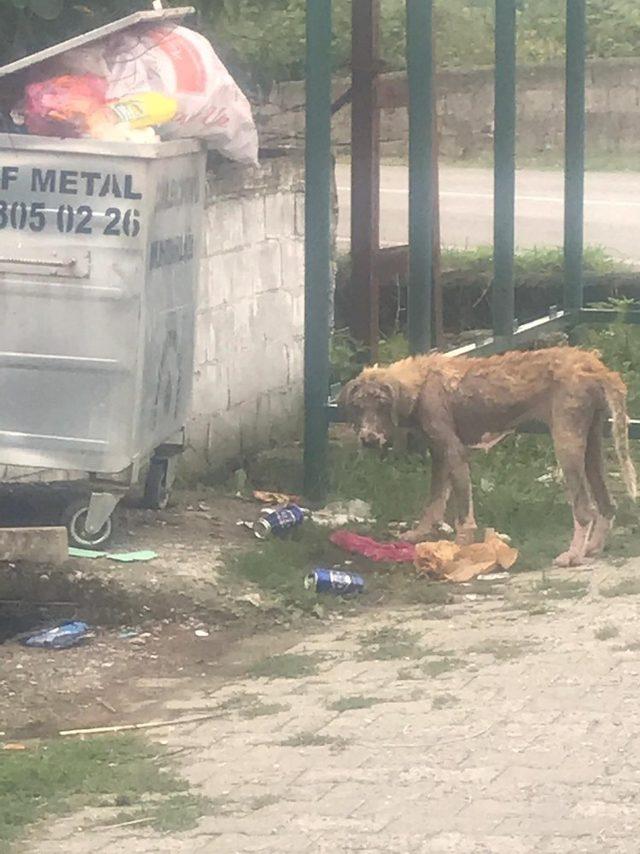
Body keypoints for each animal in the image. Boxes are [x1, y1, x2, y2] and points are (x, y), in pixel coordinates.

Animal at [340, 348, 636, 568]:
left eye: (382, 404)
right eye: (358, 406)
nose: (367, 439)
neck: (422, 383)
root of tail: (593, 363)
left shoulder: (455, 453)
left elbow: (463, 515)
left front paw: (458, 547)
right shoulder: (440, 457)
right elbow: (433, 503)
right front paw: (420, 534)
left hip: (567, 446)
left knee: (585, 510)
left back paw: (573, 555)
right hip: (591, 447)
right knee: (607, 505)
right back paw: (592, 548)